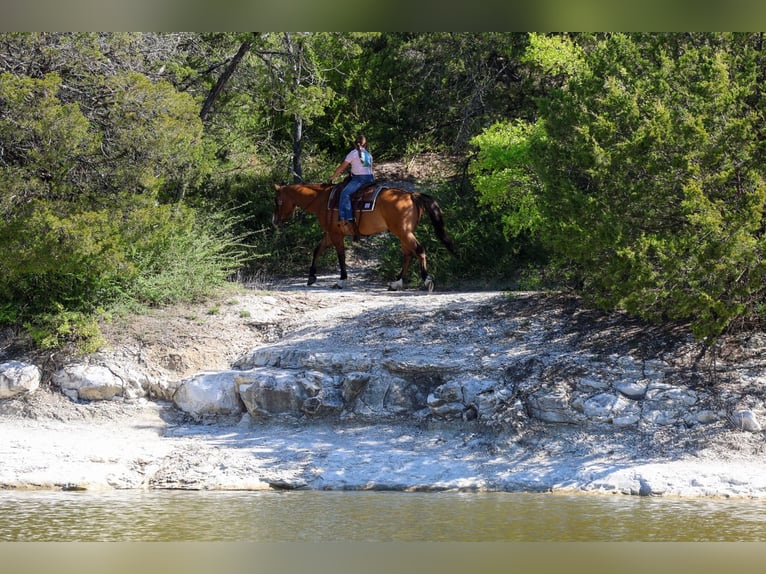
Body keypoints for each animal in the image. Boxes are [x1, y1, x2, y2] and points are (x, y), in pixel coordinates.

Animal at [272, 181, 456, 291]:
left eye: (278, 201)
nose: (274, 221)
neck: (322, 200)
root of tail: (411, 195)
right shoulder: (331, 234)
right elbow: (317, 250)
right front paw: (311, 276)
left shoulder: (336, 234)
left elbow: (341, 255)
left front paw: (341, 279)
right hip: (403, 233)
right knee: (408, 255)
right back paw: (396, 282)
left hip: (403, 232)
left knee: (419, 250)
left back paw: (426, 280)